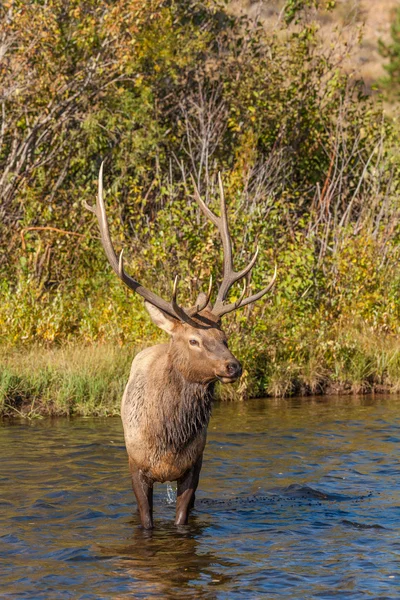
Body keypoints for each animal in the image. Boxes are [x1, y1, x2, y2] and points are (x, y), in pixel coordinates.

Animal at [85, 165, 276, 528]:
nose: (234, 366)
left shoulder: (194, 464)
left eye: (225, 338)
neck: (167, 438)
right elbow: (146, 520)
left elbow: (182, 519)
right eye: (194, 340)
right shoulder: (136, 466)